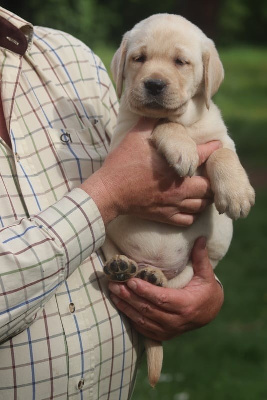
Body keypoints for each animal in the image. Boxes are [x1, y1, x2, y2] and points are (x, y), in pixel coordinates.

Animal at [102, 14, 255, 388]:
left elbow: (223, 154)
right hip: (109, 239)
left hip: (193, 269)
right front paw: (181, 147)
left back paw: (152, 277)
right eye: (139, 58)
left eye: (181, 62)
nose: (154, 84)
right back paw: (125, 268)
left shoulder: (220, 137)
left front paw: (236, 191)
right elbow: (164, 125)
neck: (188, 121)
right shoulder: (124, 138)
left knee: (172, 281)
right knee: (116, 263)